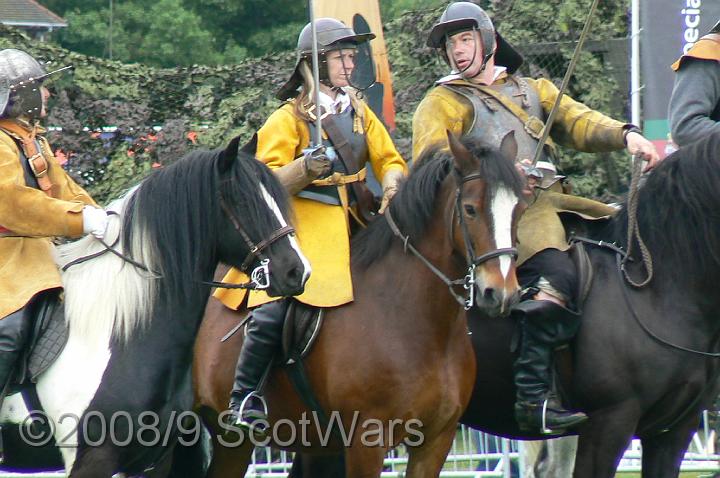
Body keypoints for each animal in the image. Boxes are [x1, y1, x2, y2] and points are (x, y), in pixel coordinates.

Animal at [187, 133, 524, 476]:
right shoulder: (366, 441)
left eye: (519, 209)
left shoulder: (435, 441)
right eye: (470, 209)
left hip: (236, 442)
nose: (501, 293)